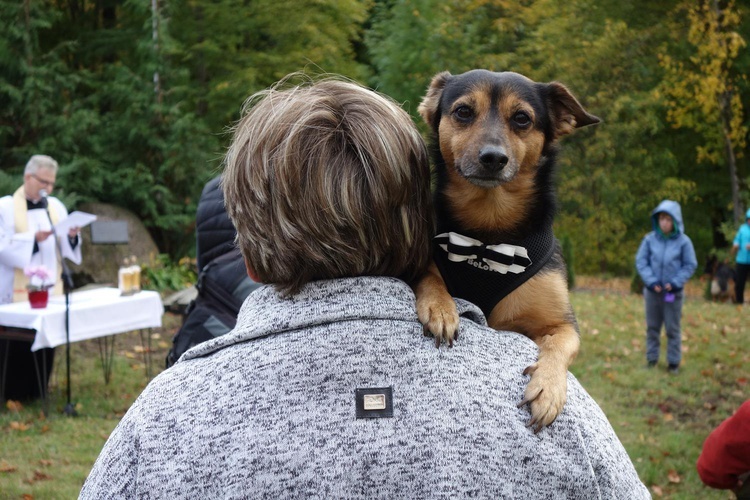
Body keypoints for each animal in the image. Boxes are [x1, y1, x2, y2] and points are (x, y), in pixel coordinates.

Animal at [414, 68, 604, 432]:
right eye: (463, 112)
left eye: (522, 118)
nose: (493, 158)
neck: (489, 230)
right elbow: (430, 276)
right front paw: (441, 308)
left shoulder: (563, 323)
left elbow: (560, 344)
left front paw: (548, 387)